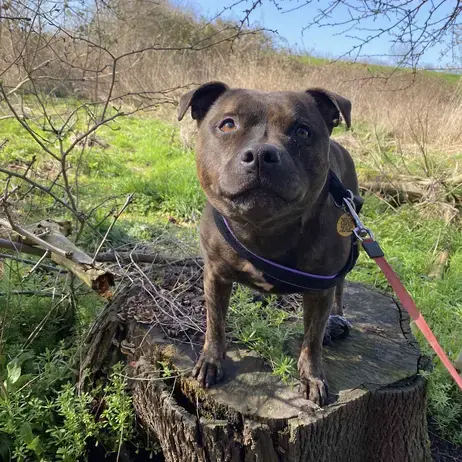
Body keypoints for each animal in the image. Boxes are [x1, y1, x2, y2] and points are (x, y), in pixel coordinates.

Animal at [177, 81, 360, 406]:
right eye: (228, 124)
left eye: (302, 131)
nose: (261, 153)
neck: (263, 230)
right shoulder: (215, 274)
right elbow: (215, 322)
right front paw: (210, 361)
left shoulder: (321, 288)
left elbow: (312, 339)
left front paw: (312, 376)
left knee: (339, 291)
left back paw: (336, 321)